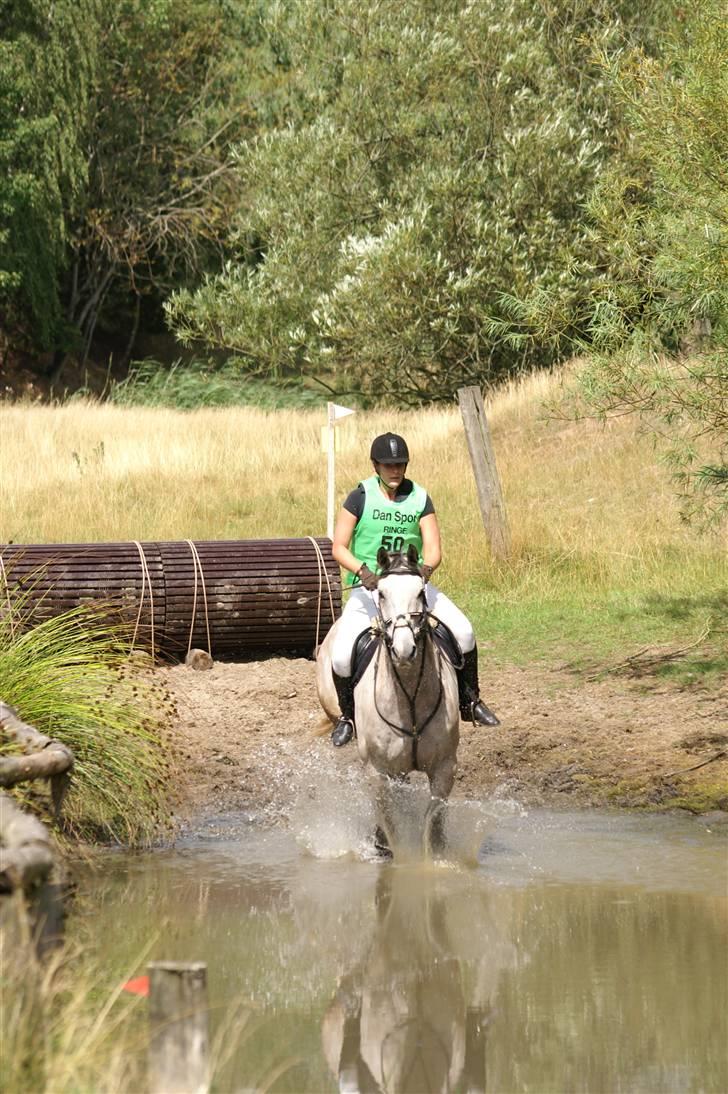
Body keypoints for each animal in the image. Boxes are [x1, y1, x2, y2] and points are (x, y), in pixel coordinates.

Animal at [313, 547, 459, 853]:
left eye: (420, 592)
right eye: (380, 593)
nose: (404, 649)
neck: (410, 697)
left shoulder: (444, 768)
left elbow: (432, 824)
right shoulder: (378, 773)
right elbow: (389, 824)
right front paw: (387, 849)